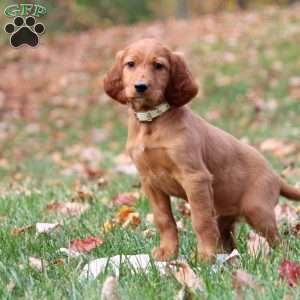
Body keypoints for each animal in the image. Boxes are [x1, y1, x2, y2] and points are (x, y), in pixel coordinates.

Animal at [103, 38, 300, 262]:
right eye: (130, 64)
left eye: (159, 66)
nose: (140, 87)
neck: (152, 122)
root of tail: (275, 176)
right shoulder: (150, 182)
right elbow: (164, 219)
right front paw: (167, 252)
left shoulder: (195, 178)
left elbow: (201, 220)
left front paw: (204, 256)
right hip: (225, 214)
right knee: (227, 237)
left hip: (257, 210)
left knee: (277, 241)